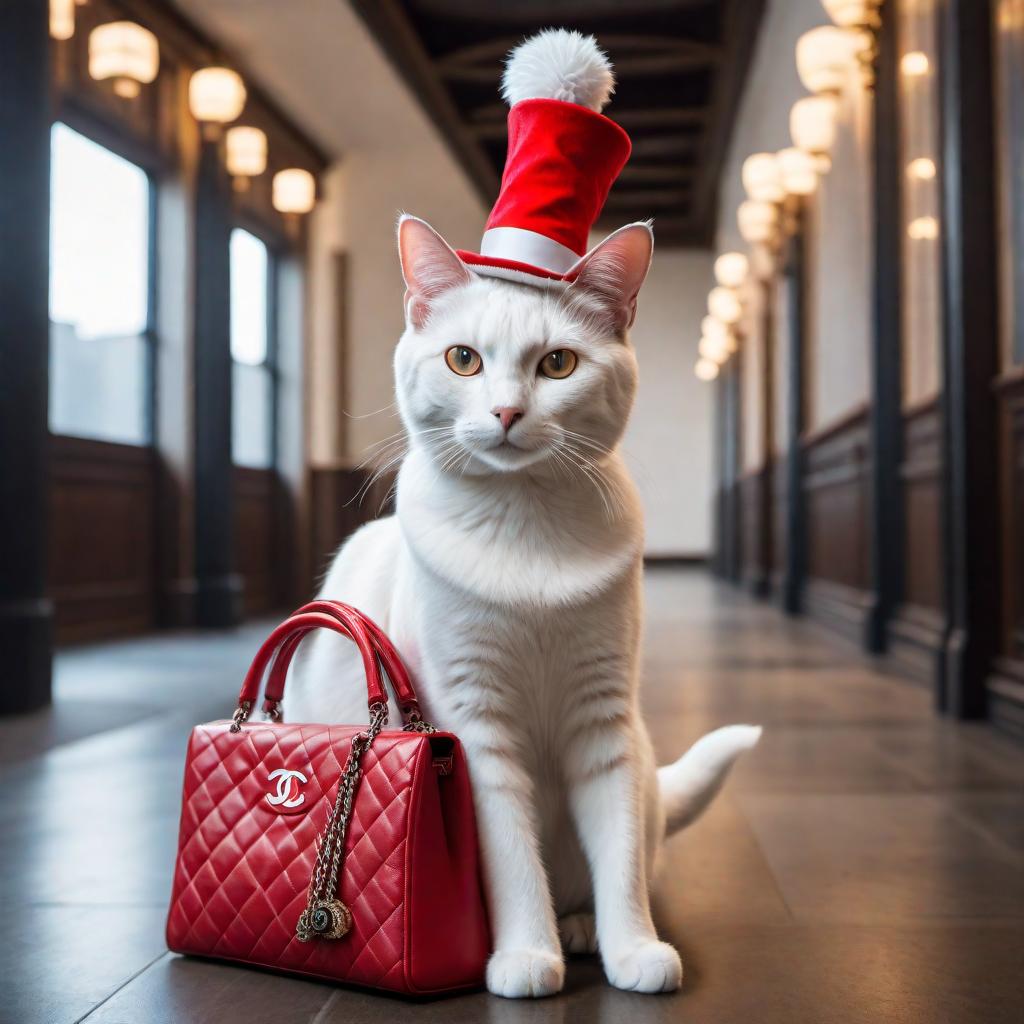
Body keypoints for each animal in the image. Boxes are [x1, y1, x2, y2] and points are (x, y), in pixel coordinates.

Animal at [284, 214, 757, 991]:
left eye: (558, 365)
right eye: (464, 360)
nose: (507, 410)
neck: (524, 523)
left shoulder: (604, 722)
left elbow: (621, 857)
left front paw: (633, 948)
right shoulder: (475, 731)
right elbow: (511, 859)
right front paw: (527, 955)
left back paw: (584, 927)